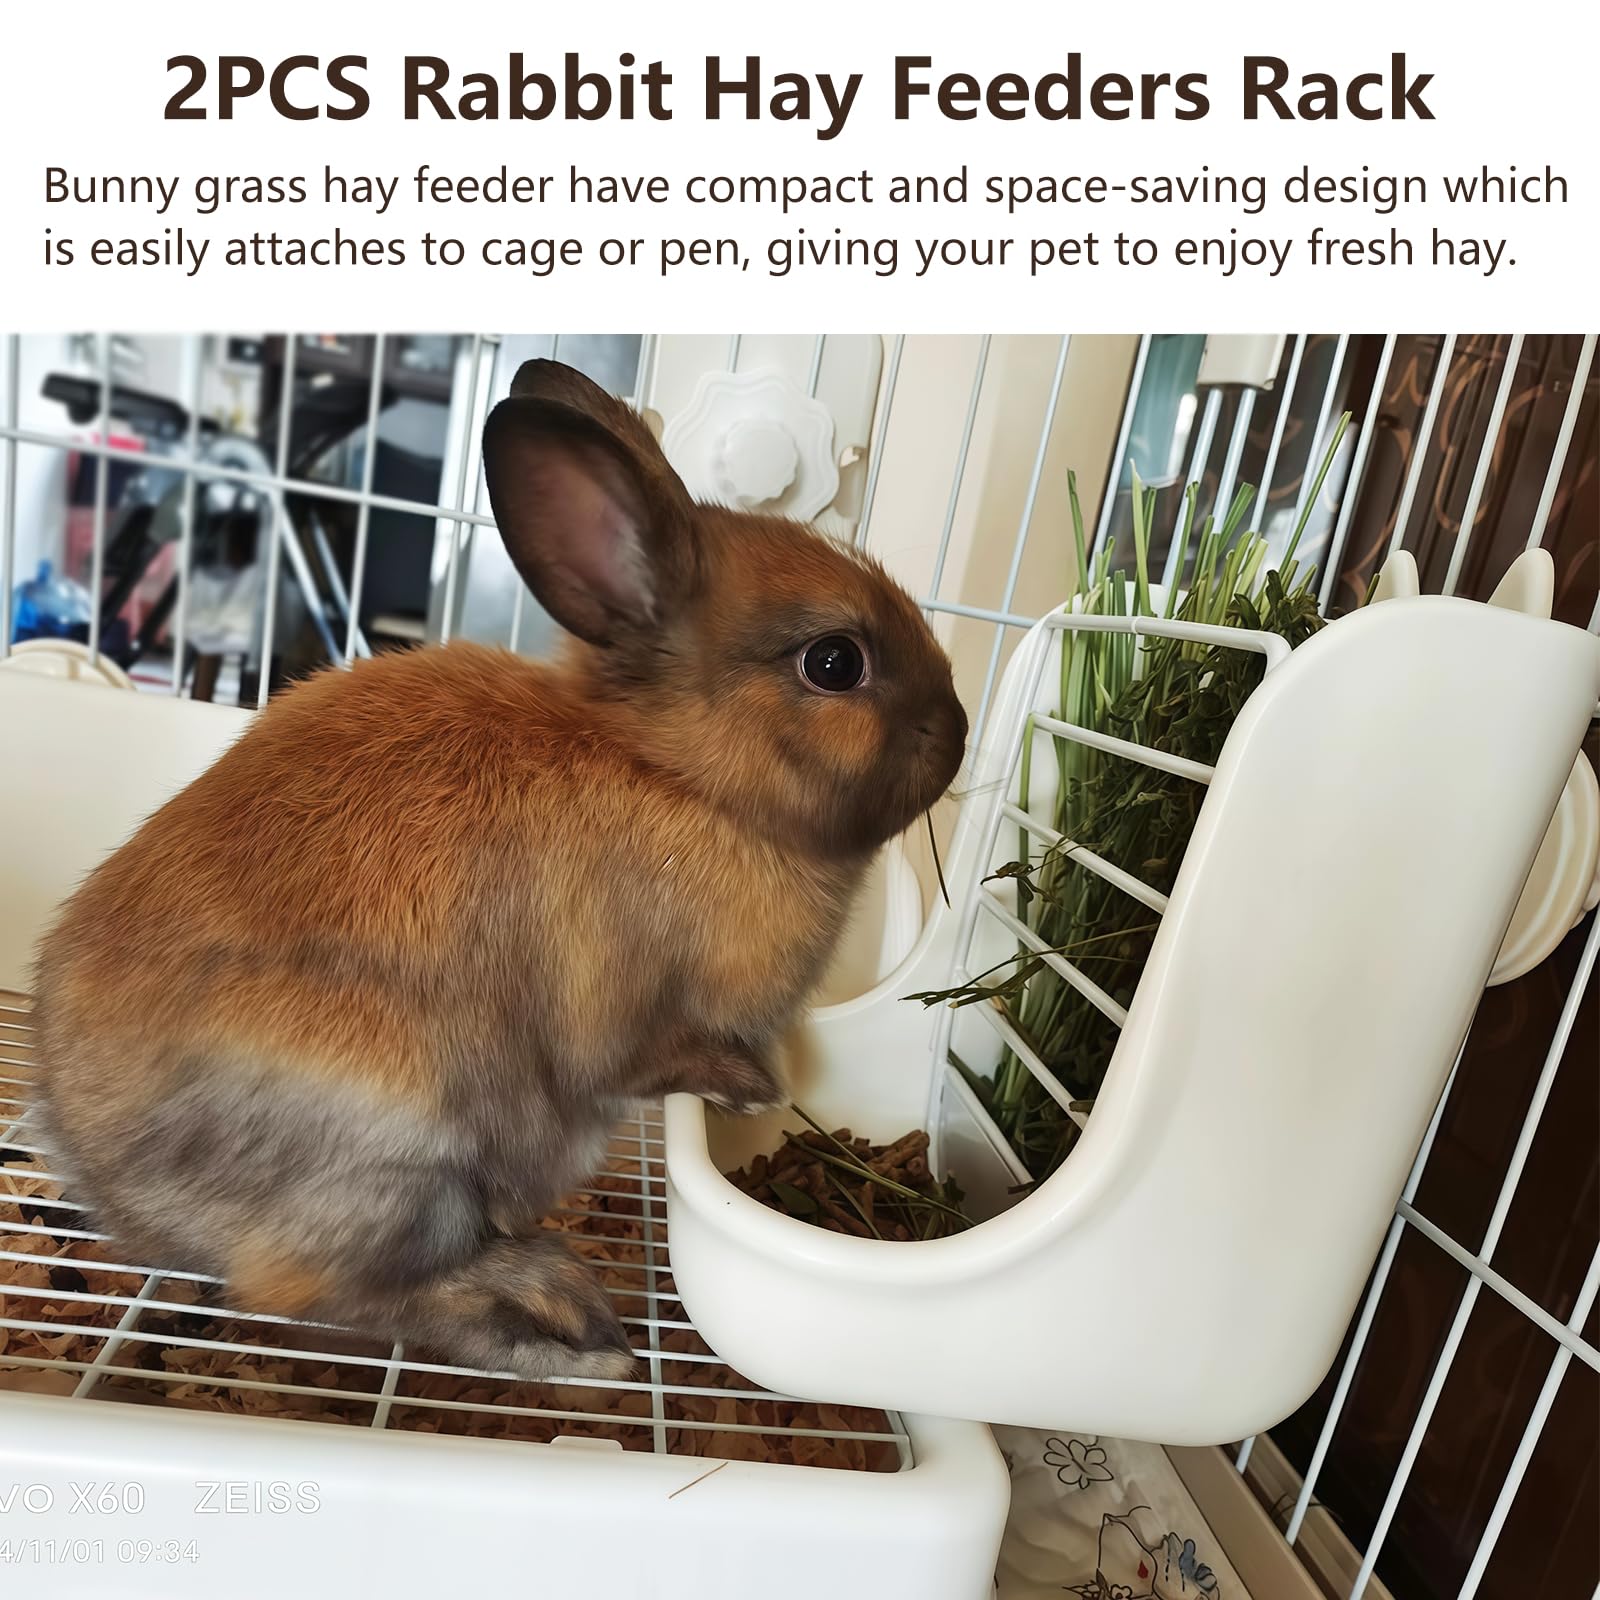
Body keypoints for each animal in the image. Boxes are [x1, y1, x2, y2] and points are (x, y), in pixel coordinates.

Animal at [31, 357, 968, 1383]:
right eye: (835, 663)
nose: (959, 731)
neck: (682, 778)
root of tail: (108, 1174)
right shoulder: (625, 1012)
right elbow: (642, 1055)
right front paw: (748, 1084)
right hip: (404, 1142)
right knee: (339, 1294)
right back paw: (570, 1335)